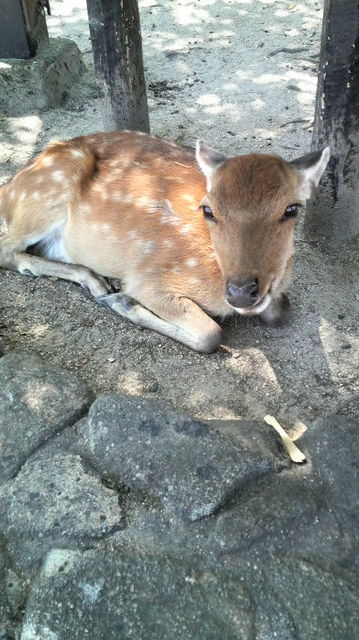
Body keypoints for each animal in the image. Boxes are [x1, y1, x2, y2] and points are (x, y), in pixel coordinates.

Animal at [0, 130, 330, 350]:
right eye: (208, 209)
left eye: (292, 208)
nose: (240, 292)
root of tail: (8, 187)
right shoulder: (149, 278)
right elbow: (211, 334)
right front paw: (124, 302)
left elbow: (282, 310)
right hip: (48, 188)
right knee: (8, 251)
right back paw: (99, 285)